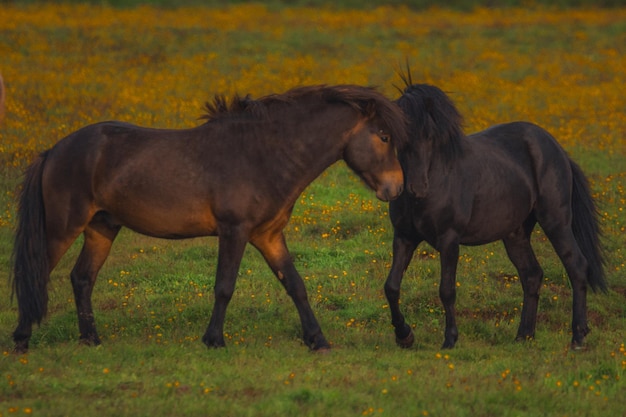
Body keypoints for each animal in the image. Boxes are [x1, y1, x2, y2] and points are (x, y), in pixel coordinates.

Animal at [12, 83, 408, 352]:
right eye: (383, 136)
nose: (397, 188)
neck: (262, 154)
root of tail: (54, 151)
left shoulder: (268, 235)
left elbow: (295, 284)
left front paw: (317, 340)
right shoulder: (234, 231)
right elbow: (224, 286)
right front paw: (214, 339)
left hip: (101, 228)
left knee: (81, 278)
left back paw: (90, 338)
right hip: (62, 228)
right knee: (37, 272)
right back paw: (21, 339)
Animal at [386, 81, 604, 348]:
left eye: (430, 135)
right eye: (399, 137)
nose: (417, 188)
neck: (439, 177)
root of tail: (556, 148)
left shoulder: (449, 240)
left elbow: (446, 290)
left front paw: (450, 339)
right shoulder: (404, 237)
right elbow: (392, 286)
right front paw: (404, 335)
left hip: (556, 222)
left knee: (577, 266)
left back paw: (578, 337)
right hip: (515, 234)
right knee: (532, 275)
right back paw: (523, 335)